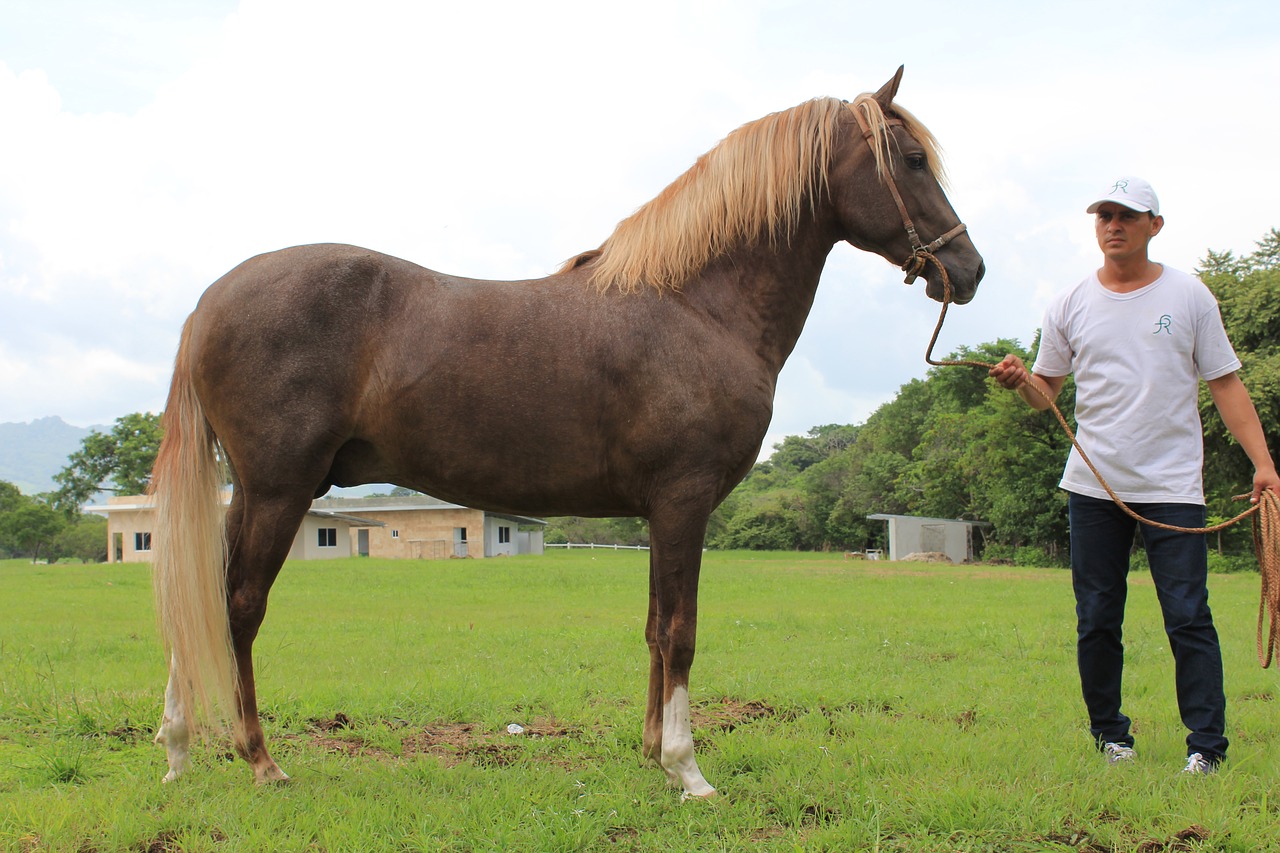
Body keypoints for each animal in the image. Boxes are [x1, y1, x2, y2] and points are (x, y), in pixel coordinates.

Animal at [149, 66, 983, 799]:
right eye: (911, 160)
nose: (969, 269)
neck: (696, 304)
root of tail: (207, 302)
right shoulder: (684, 501)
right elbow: (680, 630)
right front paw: (688, 771)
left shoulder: (658, 511)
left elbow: (653, 627)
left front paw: (651, 753)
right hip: (279, 488)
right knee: (237, 605)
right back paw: (260, 761)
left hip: (250, 493)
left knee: (202, 597)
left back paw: (179, 749)